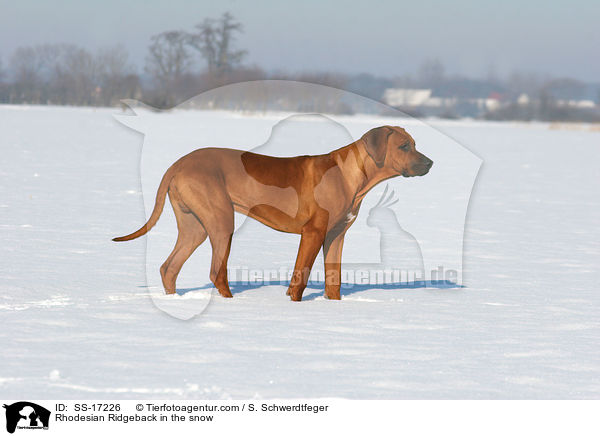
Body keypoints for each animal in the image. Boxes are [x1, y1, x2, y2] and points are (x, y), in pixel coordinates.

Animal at [113, 126, 432, 302]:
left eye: (415, 144)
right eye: (404, 146)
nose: (430, 163)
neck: (349, 175)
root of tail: (178, 163)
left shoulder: (336, 235)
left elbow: (334, 280)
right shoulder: (313, 232)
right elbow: (300, 278)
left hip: (195, 227)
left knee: (169, 267)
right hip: (221, 221)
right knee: (217, 271)